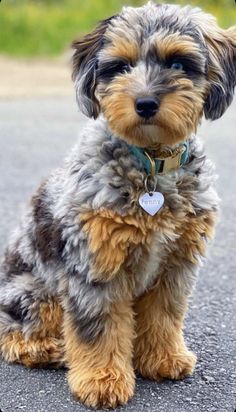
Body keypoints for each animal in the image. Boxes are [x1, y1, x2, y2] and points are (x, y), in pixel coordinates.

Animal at [0, 0, 236, 408]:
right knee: (13, 332)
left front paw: (163, 358)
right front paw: (102, 380)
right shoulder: (97, 263)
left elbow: (165, 315)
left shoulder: (176, 266)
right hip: (35, 292)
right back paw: (46, 349)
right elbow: (100, 327)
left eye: (178, 63)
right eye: (121, 66)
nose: (145, 103)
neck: (151, 165)